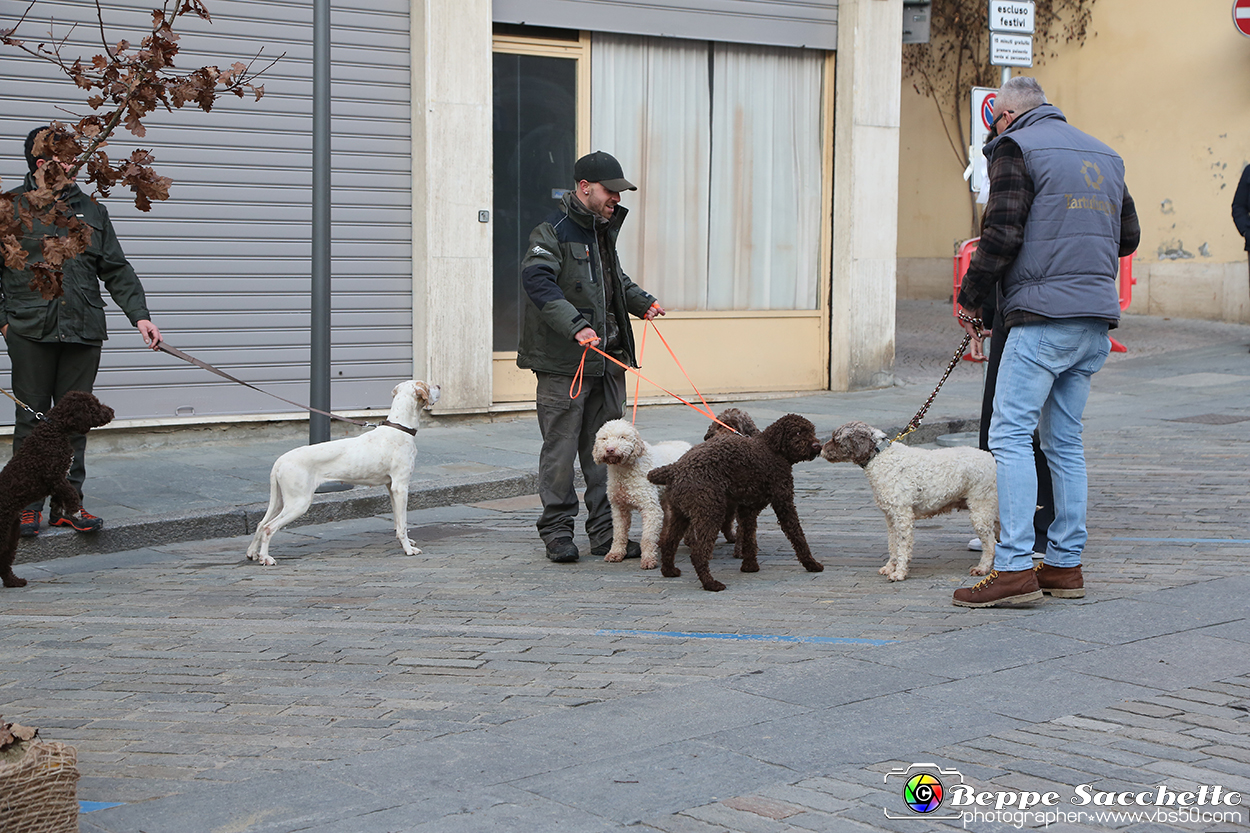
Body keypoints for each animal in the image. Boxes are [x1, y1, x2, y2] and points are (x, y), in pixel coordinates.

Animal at [0, 387, 113, 582]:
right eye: (94, 406)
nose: (112, 411)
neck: (55, 428)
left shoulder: (58, 480)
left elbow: (61, 497)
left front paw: (63, 514)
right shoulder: (54, 476)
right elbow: (71, 492)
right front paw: (74, 509)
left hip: (11, 532)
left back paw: (13, 582)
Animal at [243, 377, 440, 565]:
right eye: (427, 385)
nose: (439, 385)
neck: (399, 428)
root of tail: (280, 461)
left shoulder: (391, 488)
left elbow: (399, 522)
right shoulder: (401, 487)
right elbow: (403, 524)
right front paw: (408, 549)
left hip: (280, 501)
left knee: (261, 524)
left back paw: (253, 553)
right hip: (298, 503)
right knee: (269, 528)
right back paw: (266, 558)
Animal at [592, 417, 695, 567]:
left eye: (622, 437)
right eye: (604, 438)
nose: (610, 449)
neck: (624, 471)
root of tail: (688, 445)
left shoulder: (650, 507)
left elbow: (647, 537)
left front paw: (648, 559)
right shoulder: (618, 509)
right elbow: (619, 534)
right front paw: (615, 553)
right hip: (664, 497)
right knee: (668, 516)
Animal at [650, 412, 825, 587]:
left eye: (812, 430)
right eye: (798, 432)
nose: (818, 446)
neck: (772, 449)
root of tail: (675, 468)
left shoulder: (747, 509)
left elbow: (748, 538)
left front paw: (749, 566)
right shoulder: (784, 502)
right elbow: (798, 536)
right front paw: (811, 564)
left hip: (680, 514)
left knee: (669, 544)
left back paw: (669, 571)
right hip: (710, 512)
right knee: (698, 553)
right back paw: (710, 584)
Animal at [820, 417, 995, 580]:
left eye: (836, 439)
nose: (820, 449)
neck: (880, 457)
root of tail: (993, 460)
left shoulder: (902, 515)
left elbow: (902, 546)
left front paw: (899, 573)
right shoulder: (890, 516)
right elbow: (893, 544)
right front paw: (890, 567)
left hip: (981, 508)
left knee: (990, 542)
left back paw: (982, 568)